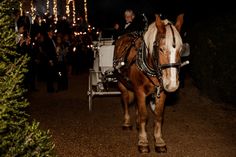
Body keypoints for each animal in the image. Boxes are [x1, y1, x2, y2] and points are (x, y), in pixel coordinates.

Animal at [113, 13, 185, 153]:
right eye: (161, 49)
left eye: (181, 49)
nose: (172, 84)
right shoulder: (140, 91)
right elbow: (144, 116)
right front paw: (143, 141)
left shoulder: (161, 92)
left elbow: (158, 116)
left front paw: (159, 141)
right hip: (122, 84)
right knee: (125, 101)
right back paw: (127, 122)